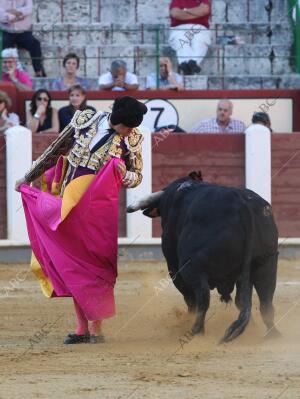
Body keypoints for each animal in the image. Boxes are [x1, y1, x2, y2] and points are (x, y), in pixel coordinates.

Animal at [127, 172, 282, 344]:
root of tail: (242, 204)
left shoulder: (175, 269)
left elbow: (191, 300)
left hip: (192, 268)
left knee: (202, 299)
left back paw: (196, 331)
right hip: (268, 262)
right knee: (265, 301)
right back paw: (272, 334)